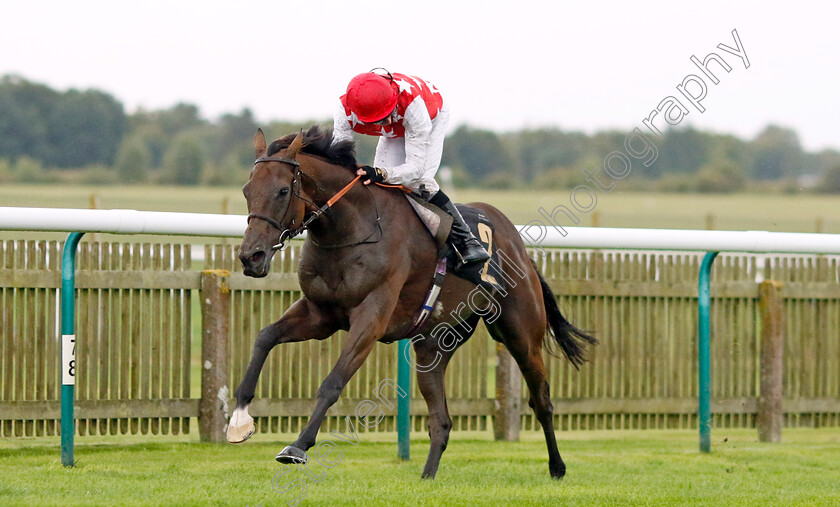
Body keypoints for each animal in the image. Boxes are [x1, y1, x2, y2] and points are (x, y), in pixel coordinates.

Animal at [230, 124, 596, 480]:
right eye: (247, 191)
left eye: (282, 191)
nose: (251, 256)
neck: (354, 228)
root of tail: (519, 245)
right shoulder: (320, 314)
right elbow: (265, 337)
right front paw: (239, 420)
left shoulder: (372, 316)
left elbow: (333, 382)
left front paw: (299, 445)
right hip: (433, 346)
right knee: (441, 421)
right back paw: (427, 477)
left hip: (521, 334)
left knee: (542, 401)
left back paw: (557, 467)